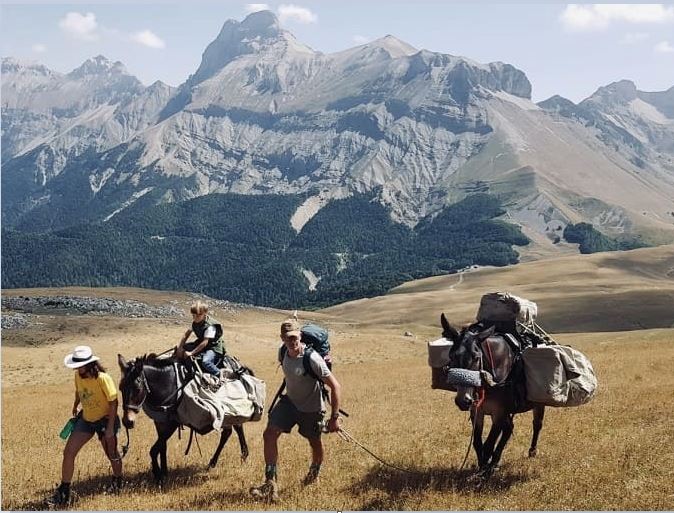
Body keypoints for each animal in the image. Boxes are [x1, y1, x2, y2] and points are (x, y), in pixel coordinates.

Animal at [118, 354, 249, 482]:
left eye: (137, 388)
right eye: (120, 388)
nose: (127, 422)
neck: (168, 384)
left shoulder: (173, 423)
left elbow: (154, 450)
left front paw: (158, 474)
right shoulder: (160, 422)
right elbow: (162, 447)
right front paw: (164, 473)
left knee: (233, 430)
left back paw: (231, 458)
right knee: (231, 430)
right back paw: (224, 460)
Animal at [438, 312, 544, 476]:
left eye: (476, 357)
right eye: (451, 356)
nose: (464, 401)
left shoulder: (499, 413)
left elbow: (488, 444)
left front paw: (483, 473)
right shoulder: (477, 411)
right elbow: (477, 443)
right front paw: (482, 466)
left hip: (537, 404)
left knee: (536, 425)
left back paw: (531, 452)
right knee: (509, 429)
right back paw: (495, 462)